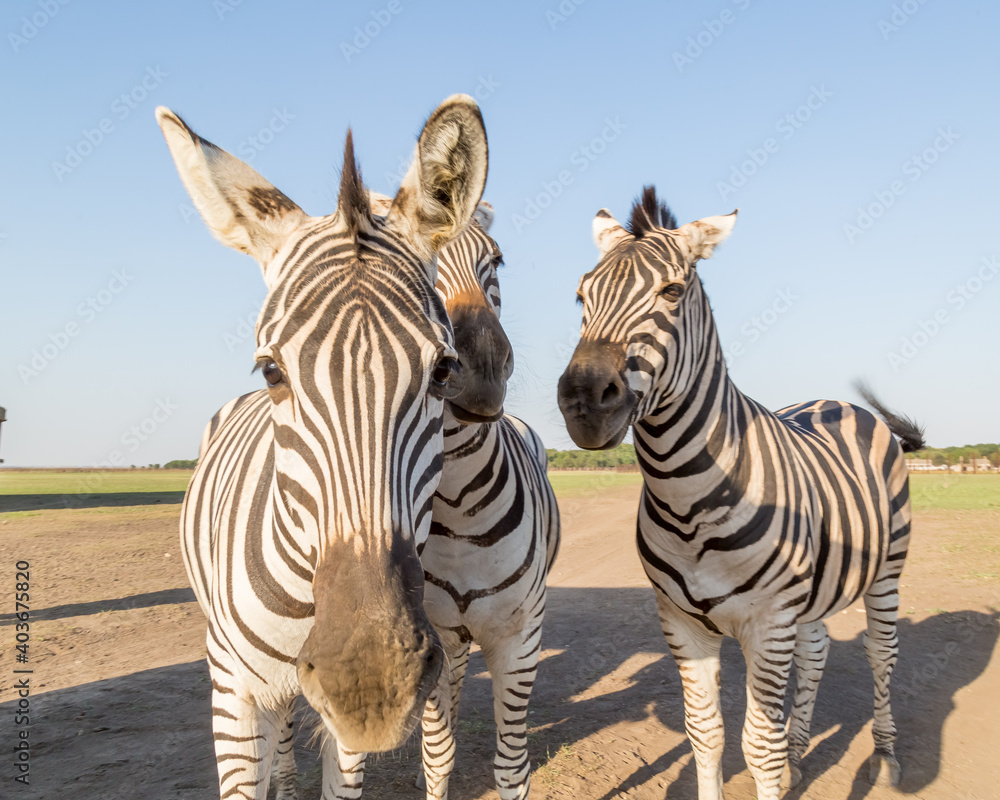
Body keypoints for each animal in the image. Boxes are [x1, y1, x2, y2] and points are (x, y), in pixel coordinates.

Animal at [557, 187, 924, 800]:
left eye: (672, 292)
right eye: (582, 295)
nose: (584, 400)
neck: (688, 501)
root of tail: (836, 400)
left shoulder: (768, 622)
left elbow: (759, 747)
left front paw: (780, 759)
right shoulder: (681, 622)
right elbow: (705, 734)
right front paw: (777, 755)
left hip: (887, 572)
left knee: (882, 655)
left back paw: (887, 757)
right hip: (813, 591)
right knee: (818, 649)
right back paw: (803, 753)